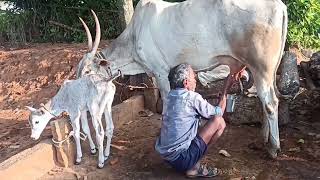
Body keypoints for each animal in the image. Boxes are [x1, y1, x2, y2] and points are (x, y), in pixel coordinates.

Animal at [77, 0, 288, 158]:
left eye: (87, 71)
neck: (134, 37)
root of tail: (280, 6)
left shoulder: (161, 72)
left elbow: (165, 105)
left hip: (261, 67)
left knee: (271, 102)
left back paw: (273, 148)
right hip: (266, 71)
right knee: (266, 101)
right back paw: (263, 139)